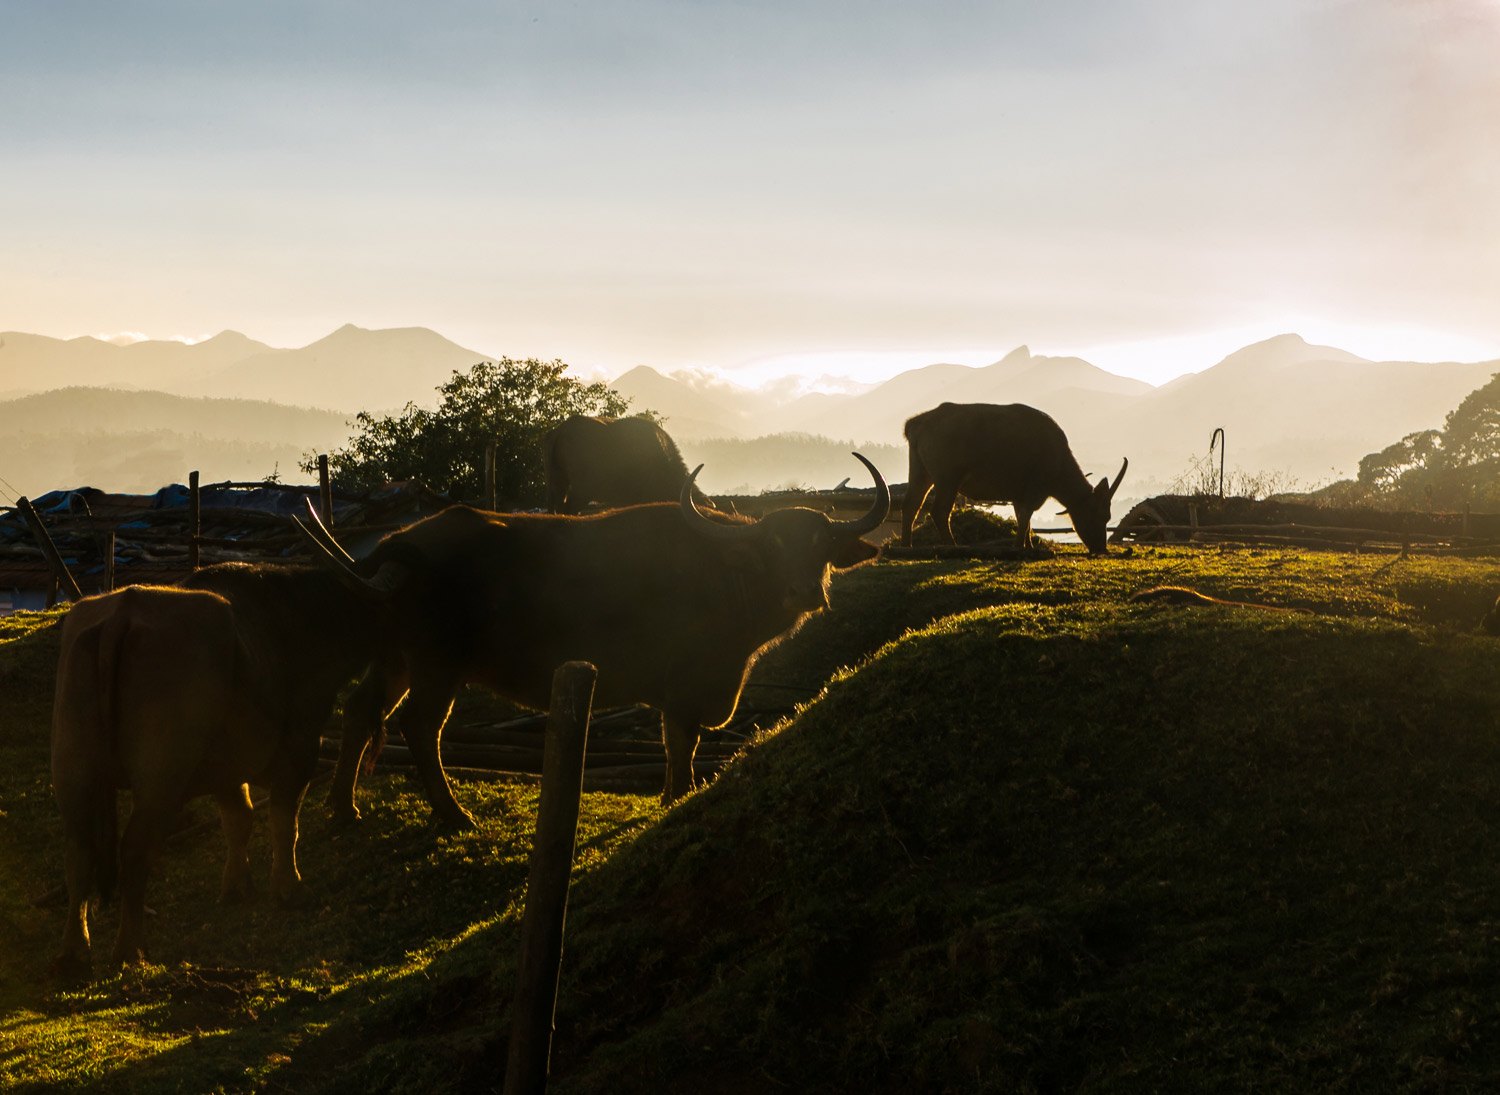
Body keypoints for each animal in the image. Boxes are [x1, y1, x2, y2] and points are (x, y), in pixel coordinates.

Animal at [53, 564, 384, 972]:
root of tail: (123, 612)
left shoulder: (228, 769)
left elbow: (238, 819)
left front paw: (237, 887)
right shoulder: (301, 745)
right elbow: (283, 821)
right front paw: (289, 889)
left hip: (73, 770)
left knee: (79, 853)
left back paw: (73, 955)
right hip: (160, 780)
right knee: (133, 850)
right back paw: (130, 950)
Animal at [301, 450, 888, 816]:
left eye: (821, 546)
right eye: (772, 547)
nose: (804, 592)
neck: (724, 575)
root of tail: (395, 547)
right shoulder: (682, 688)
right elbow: (681, 744)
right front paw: (677, 797)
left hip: (395, 658)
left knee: (360, 711)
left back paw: (343, 807)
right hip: (434, 665)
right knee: (419, 727)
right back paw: (453, 814)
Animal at [900, 402, 1128, 555]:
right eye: (1100, 514)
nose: (1102, 549)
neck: (1058, 459)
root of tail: (916, 423)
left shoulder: (1020, 494)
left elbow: (1023, 519)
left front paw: (1028, 544)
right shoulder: (1034, 490)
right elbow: (1026, 516)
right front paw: (1019, 546)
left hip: (921, 472)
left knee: (911, 504)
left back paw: (906, 545)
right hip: (948, 478)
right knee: (939, 511)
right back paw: (952, 545)